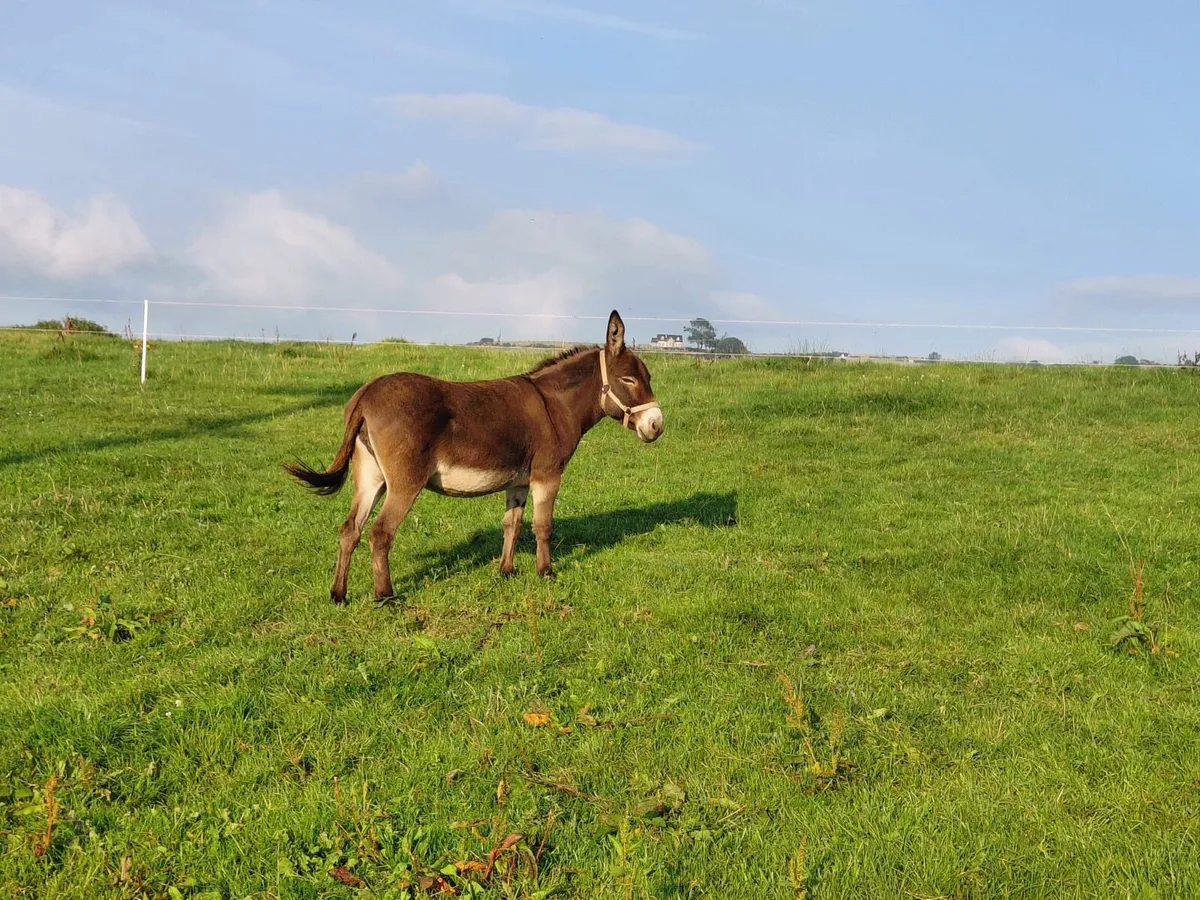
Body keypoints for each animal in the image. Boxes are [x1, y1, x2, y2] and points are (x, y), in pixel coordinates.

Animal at [285, 310, 664, 602]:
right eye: (628, 379)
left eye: (648, 377)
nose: (657, 425)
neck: (554, 406)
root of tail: (366, 394)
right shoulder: (548, 474)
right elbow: (543, 526)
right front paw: (546, 573)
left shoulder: (518, 481)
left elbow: (512, 525)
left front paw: (507, 571)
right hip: (404, 481)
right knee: (380, 533)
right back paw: (385, 595)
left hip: (371, 476)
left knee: (350, 529)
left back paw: (338, 594)